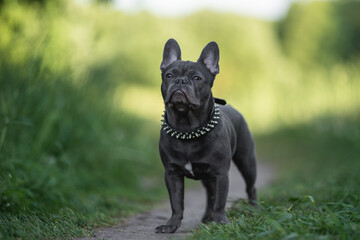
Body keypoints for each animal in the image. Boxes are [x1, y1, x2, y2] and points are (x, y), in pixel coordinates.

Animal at [155, 38, 256, 233]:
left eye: (197, 78)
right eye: (169, 75)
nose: (180, 81)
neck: (187, 128)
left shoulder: (221, 173)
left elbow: (220, 201)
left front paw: (222, 222)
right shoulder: (172, 174)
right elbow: (176, 203)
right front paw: (171, 225)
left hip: (247, 161)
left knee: (250, 187)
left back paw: (255, 209)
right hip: (207, 177)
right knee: (210, 193)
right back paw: (207, 218)